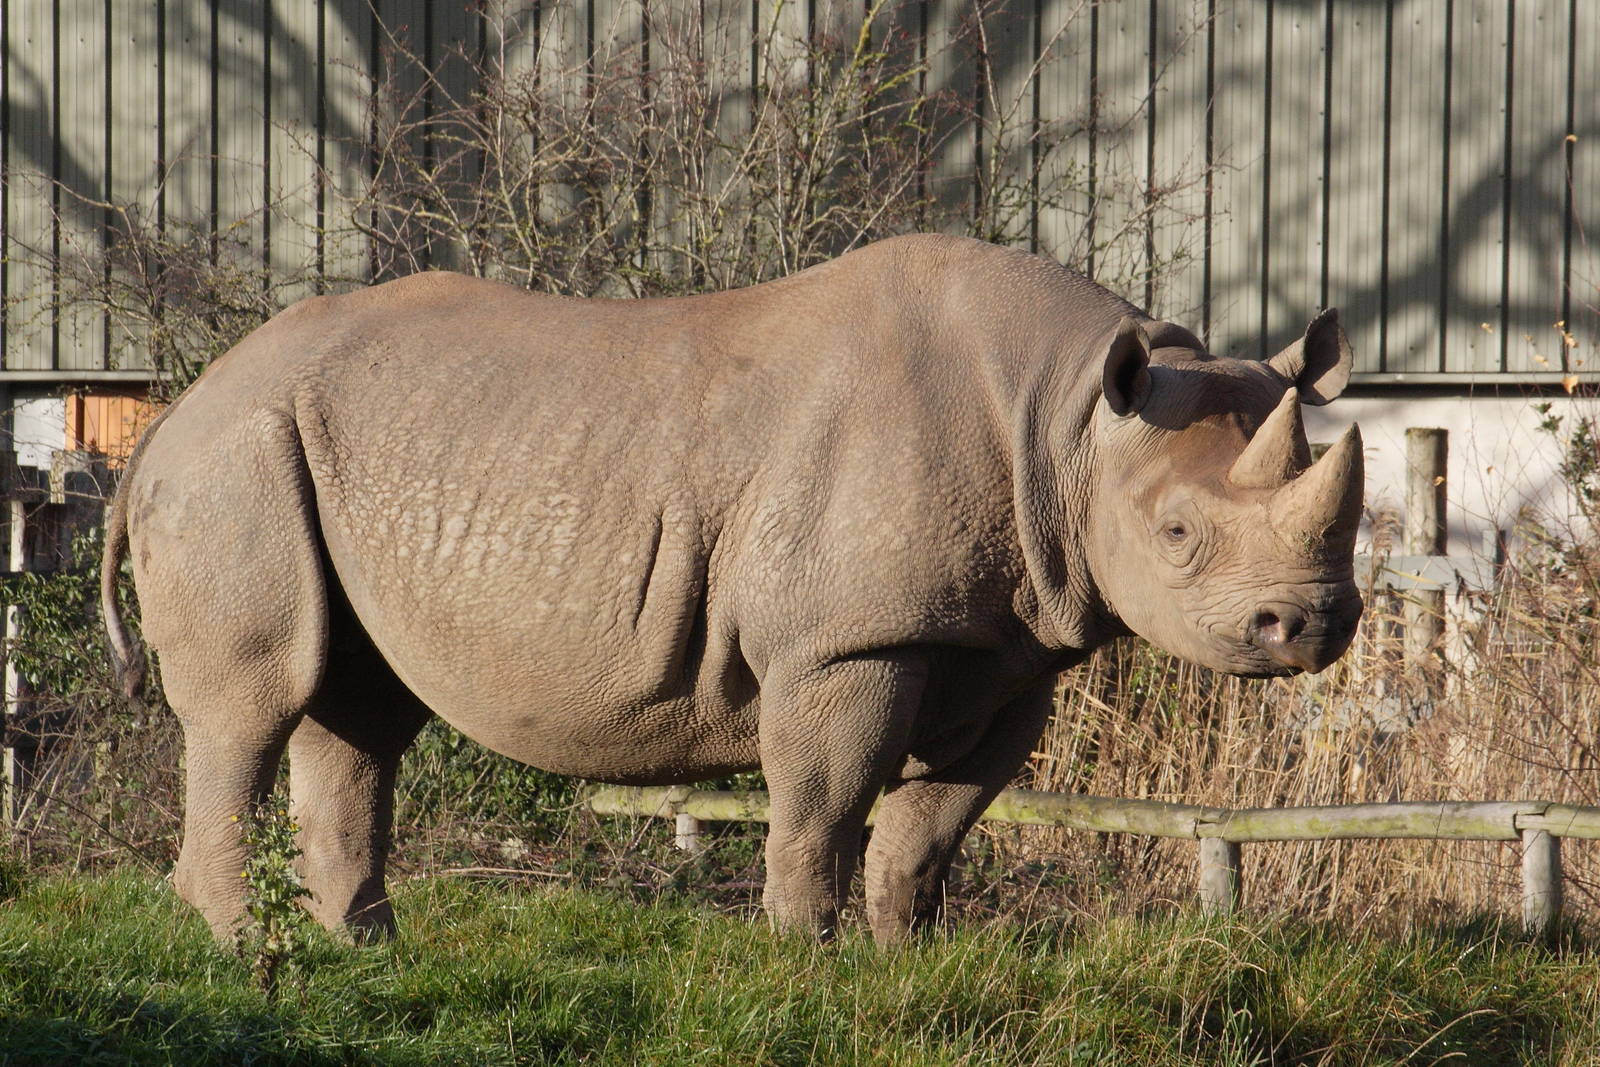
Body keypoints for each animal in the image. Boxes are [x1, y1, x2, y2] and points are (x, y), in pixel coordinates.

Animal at [101, 234, 1363, 944]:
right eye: (1178, 531)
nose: (1309, 622)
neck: (1063, 421)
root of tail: (171, 408)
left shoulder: (1012, 645)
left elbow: (937, 819)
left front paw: (907, 960)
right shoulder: (846, 639)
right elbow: (823, 799)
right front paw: (805, 958)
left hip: (311, 449)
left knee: (359, 708)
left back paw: (364, 951)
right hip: (237, 458)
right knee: (254, 702)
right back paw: (246, 949)